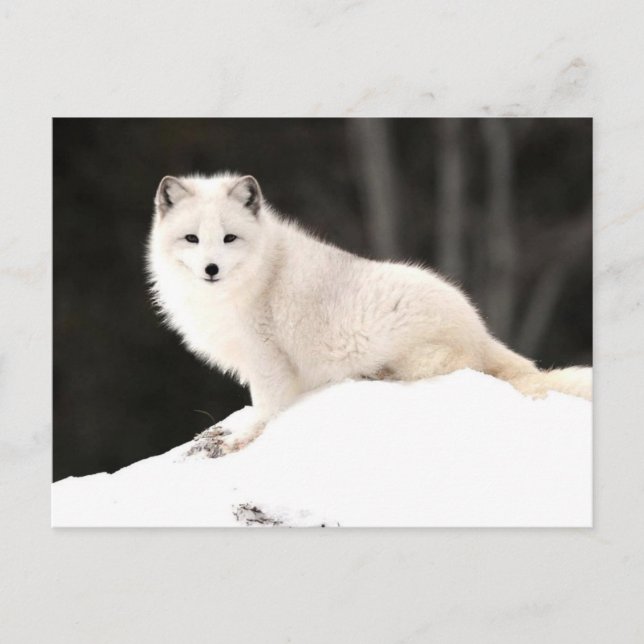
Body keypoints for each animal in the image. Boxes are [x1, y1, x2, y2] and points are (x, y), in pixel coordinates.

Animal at [147, 172, 592, 457]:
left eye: (229, 238)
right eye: (191, 238)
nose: (211, 269)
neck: (258, 274)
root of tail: (479, 328)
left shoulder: (267, 359)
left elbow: (266, 409)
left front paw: (242, 439)